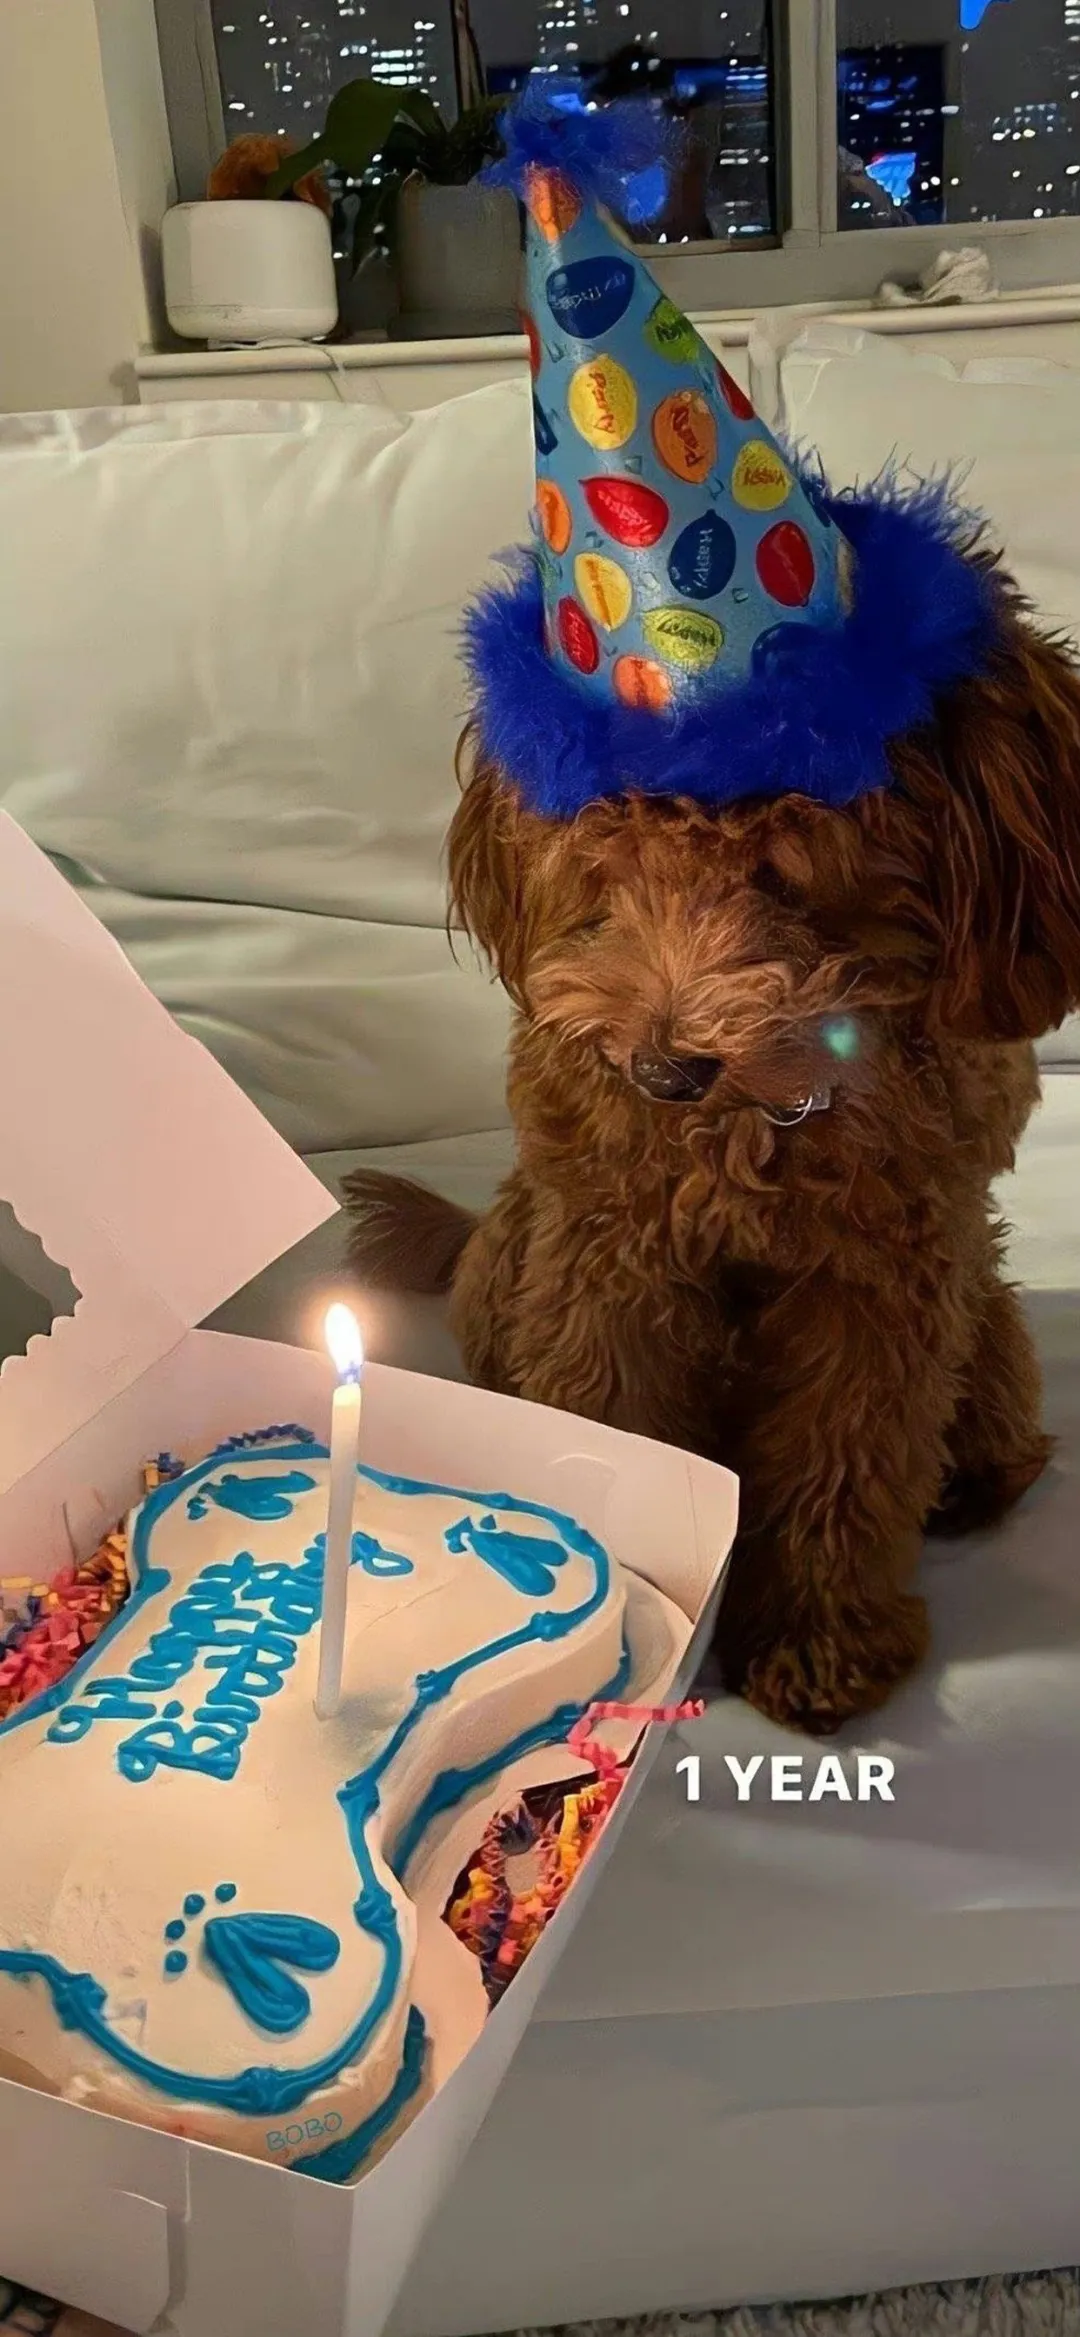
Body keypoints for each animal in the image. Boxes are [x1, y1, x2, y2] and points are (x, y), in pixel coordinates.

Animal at [348, 539, 1080, 1738]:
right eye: (603, 848)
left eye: (790, 862)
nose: (662, 1071)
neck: (759, 1127)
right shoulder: (607, 1257)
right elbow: (609, 1407)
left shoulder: (887, 1280)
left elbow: (848, 1456)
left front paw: (818, 1637)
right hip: (512, 1257)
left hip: (986, 1313)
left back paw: (977, 1480)